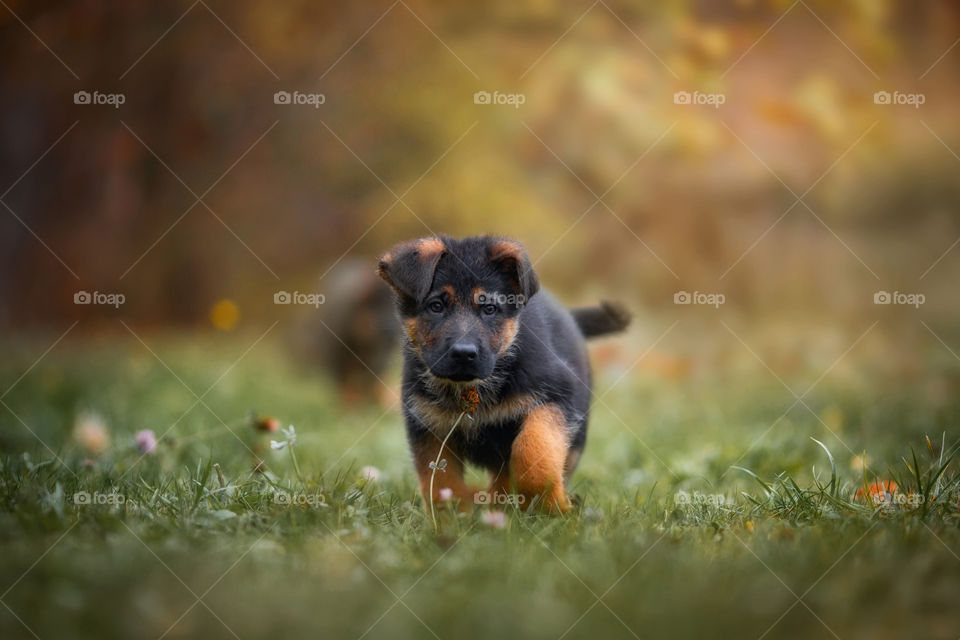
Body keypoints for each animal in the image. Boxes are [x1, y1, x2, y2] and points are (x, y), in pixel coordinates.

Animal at [376, 236, 632, 516]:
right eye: (436, 306)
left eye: (489, 308)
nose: (464, 354)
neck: (473, 389)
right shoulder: (428, 425)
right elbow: (441, 485)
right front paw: (454, 519)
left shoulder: (556, 397)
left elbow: (532, 450)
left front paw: (551, 507)